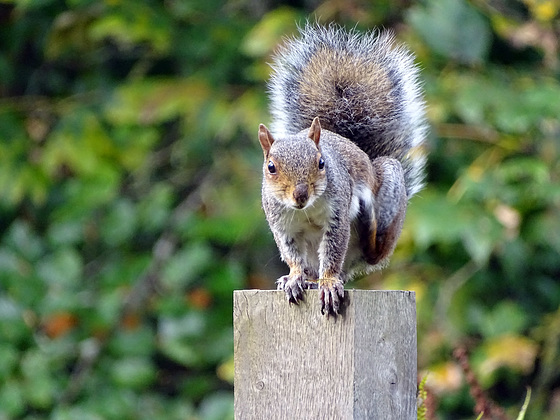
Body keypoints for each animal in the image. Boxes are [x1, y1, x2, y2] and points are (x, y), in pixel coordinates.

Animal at [258, 23, 428, 316]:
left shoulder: (337, 215)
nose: (300, 195)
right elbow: (292, 254)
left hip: (389, 189)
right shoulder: (281, 224)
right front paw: (293, 277)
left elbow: (333, 251)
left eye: (321, 163)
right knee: (312, 269)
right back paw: (305, 280)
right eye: (271, 167)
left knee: (372, 254)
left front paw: (328, 283)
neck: (306, 210)